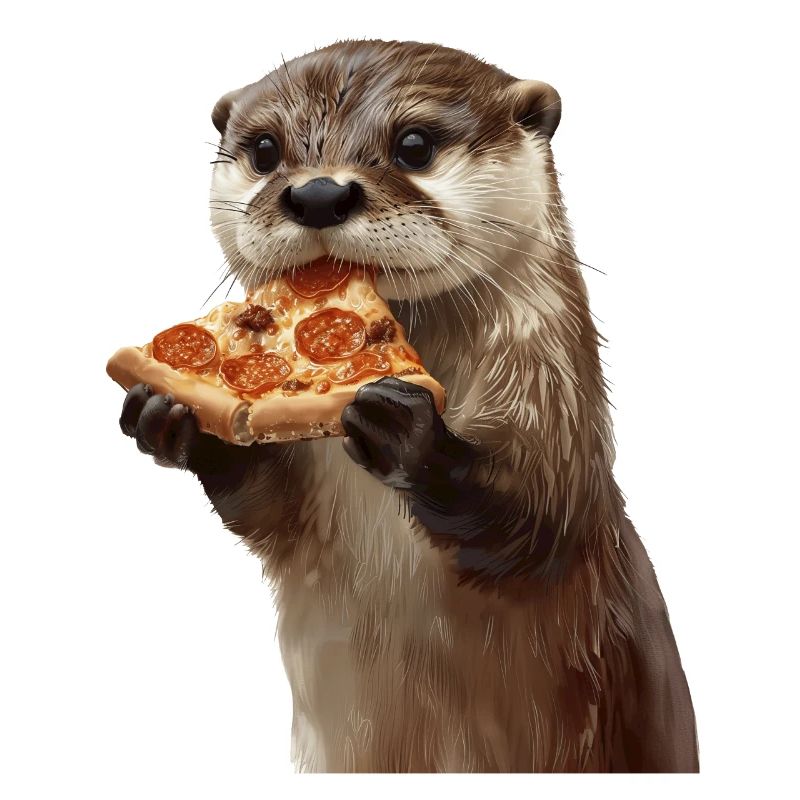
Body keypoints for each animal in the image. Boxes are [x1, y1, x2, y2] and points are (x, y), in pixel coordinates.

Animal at [117, 40, 699, 772]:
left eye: (414, 144)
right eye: (267, 149)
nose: (318, 192)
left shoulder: (555, 411)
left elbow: (537, 517)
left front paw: (407, 429)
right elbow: (266, 510)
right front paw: (180, 423)